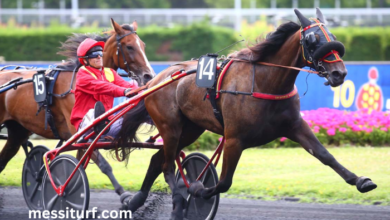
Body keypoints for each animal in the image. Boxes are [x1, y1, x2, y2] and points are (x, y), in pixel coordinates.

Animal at [0, 18, 155, 199]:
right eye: (129, 46)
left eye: (143, 45)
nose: (149, 76)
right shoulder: (78, 132)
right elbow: (102, 164)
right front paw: (123, 194)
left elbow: (78, 166)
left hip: (18, 131)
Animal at [117, 7, 376, 219]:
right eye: (312, 39)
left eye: (333, 38)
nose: (339, 73)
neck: (265, 82)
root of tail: (155, 80)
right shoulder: (234, 139)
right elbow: (223, 182)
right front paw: (198, 189)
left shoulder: (294, 126)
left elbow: (324, 155)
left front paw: (360, 180)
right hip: (170, 127)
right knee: (168, 166)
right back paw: (179, 202)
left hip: (190, 129)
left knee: (157, 160)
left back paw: (135, 201)